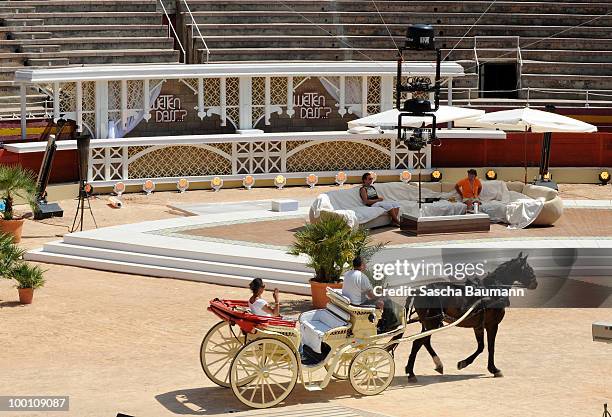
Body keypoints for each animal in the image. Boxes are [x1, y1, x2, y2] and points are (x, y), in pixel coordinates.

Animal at [396, 250, 536, 380]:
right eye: (529, 269)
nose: (535, 283)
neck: (491, 291)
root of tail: (417, 291)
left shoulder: (479, 325)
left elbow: (481, 347)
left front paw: (464, 363)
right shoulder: (492, 324)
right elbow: (490, 347)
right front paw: (493, 369)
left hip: (429, 323)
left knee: (424, 342)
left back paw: (434, 366)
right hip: (432, 323)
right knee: (418, 342)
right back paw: (412, 372)